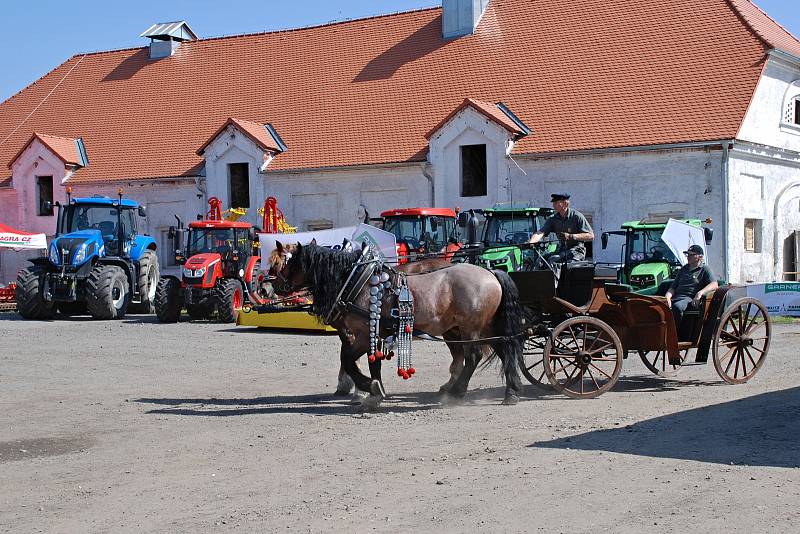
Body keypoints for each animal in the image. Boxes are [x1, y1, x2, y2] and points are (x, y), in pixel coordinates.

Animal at [272, 243, 528, 410]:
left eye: (289, 262)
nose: (272, 286)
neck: (357, 280)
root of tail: (491, 272)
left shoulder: (362, 334)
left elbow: (349, 360)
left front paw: (368, 387)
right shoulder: (373, 334)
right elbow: (371, 363)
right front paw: (375, 393)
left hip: (470, 328)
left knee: (473, 356)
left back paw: (457, 392)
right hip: (485, 327)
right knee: (505, 351)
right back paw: (511, 391)